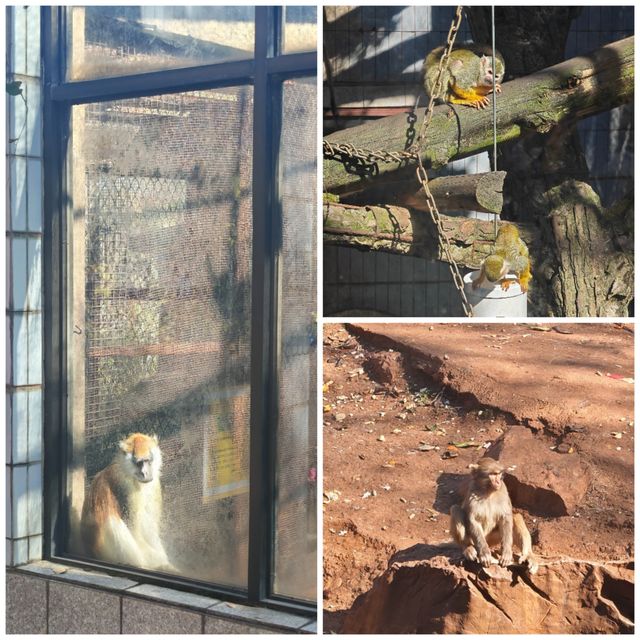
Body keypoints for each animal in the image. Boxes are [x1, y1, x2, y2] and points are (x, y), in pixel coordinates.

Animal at [80, 432, 175, 572]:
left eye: (148, 461)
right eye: (139, 463)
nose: (145, 473)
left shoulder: (153, 483)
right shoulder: (124, 485)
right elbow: (134, 530)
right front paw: (162, 563)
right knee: (112, 521)